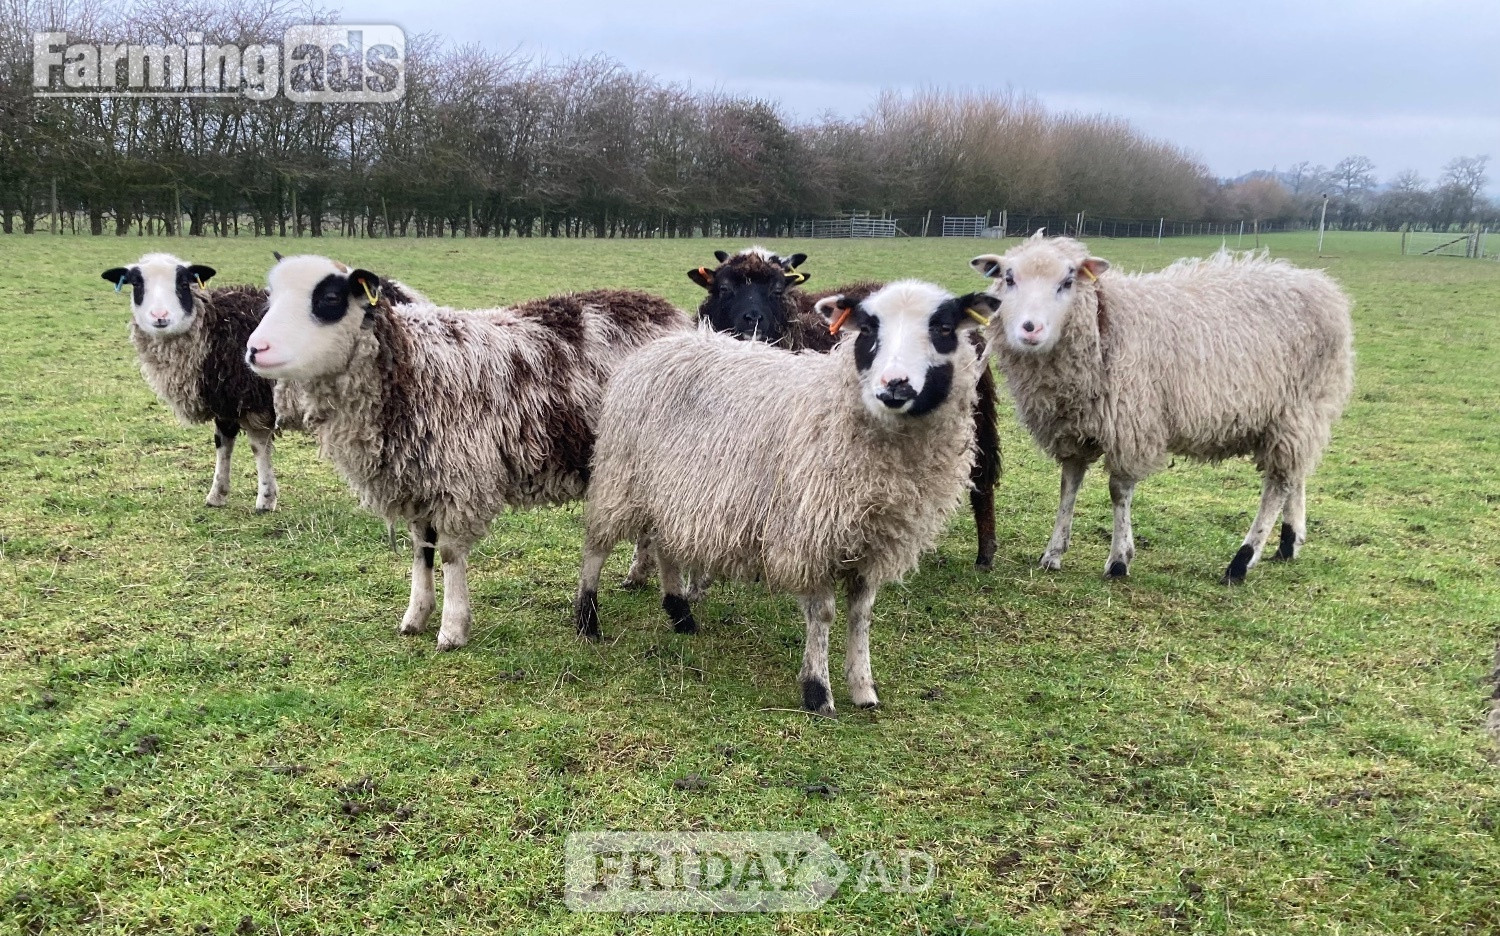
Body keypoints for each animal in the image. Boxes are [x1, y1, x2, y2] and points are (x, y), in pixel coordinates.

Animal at [247, 255, 690, 650]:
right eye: (271, 297)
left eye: (329, 298)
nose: (254, 349)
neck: (409, 366)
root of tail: (665, 309)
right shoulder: (418, 480)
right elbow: (421, 550)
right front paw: (415, 616)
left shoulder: (458, 480)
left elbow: (448, 554)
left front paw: (452, 629)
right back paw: (638, 574)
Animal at [573, 281, 1002, 715]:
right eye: (867, 329)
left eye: (944, 328)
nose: (894, 384)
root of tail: (661, 344)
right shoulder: (809, 536)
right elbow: (823, 614)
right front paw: (817, 690)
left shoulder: (873, 543)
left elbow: (861, 615)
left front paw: (863, 688)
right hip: (622, 476)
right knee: (597, 546)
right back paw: (587, 619)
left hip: (669, 491)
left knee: (664, 546)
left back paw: (680, 614)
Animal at [689, 246, 1005, 570]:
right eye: (724, 288)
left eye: (777, 290)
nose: (752, 321)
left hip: (975, 417)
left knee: (982, 479)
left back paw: (984, 555)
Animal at [970, 233, 1353, 584]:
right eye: (1009, 278)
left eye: (1067, 282)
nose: (1030, 329)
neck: (1105, 325)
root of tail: (1323, 287)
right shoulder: (1073, 428)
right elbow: (1069, 485)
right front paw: (1053, 553)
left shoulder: (1131, 425)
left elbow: (1118, 492)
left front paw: (1119, 559)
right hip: (1299, 416)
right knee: (1295, 474)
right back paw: (1289, 543)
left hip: (1296, 409)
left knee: (1277, 485)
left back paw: (1242, 560)